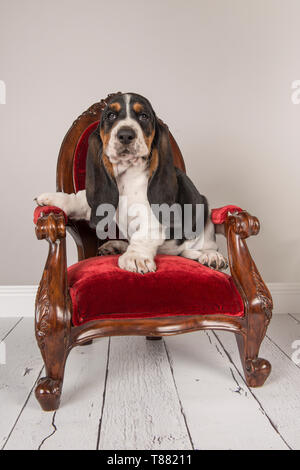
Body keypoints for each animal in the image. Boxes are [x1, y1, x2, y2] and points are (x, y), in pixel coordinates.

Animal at [35, 92, 227, 274]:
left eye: (144, 116)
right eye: (111, 115)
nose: (126, 135)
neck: (127, 176)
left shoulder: (151, 215)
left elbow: (143, 234)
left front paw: (136, 258)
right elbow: (79, 199)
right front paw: (53, 199)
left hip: (204, 213)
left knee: (201, 247)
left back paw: (211, 256)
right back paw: (116, 246)